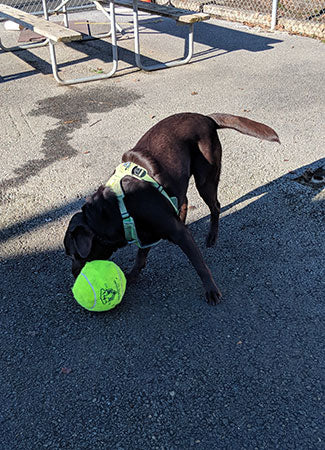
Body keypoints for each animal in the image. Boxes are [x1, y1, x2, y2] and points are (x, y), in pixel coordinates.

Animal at [64, 111, 278, 306]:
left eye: (73, 254)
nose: (73, 274)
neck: (117, 209)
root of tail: (205, 117)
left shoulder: (177, 233)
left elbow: (199, 264)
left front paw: (211, 290)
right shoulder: (145, 234)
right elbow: (140, 256)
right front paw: (132, 276)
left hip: (205, 178)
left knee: (215, 206)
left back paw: (211, 237)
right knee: (184, 200)